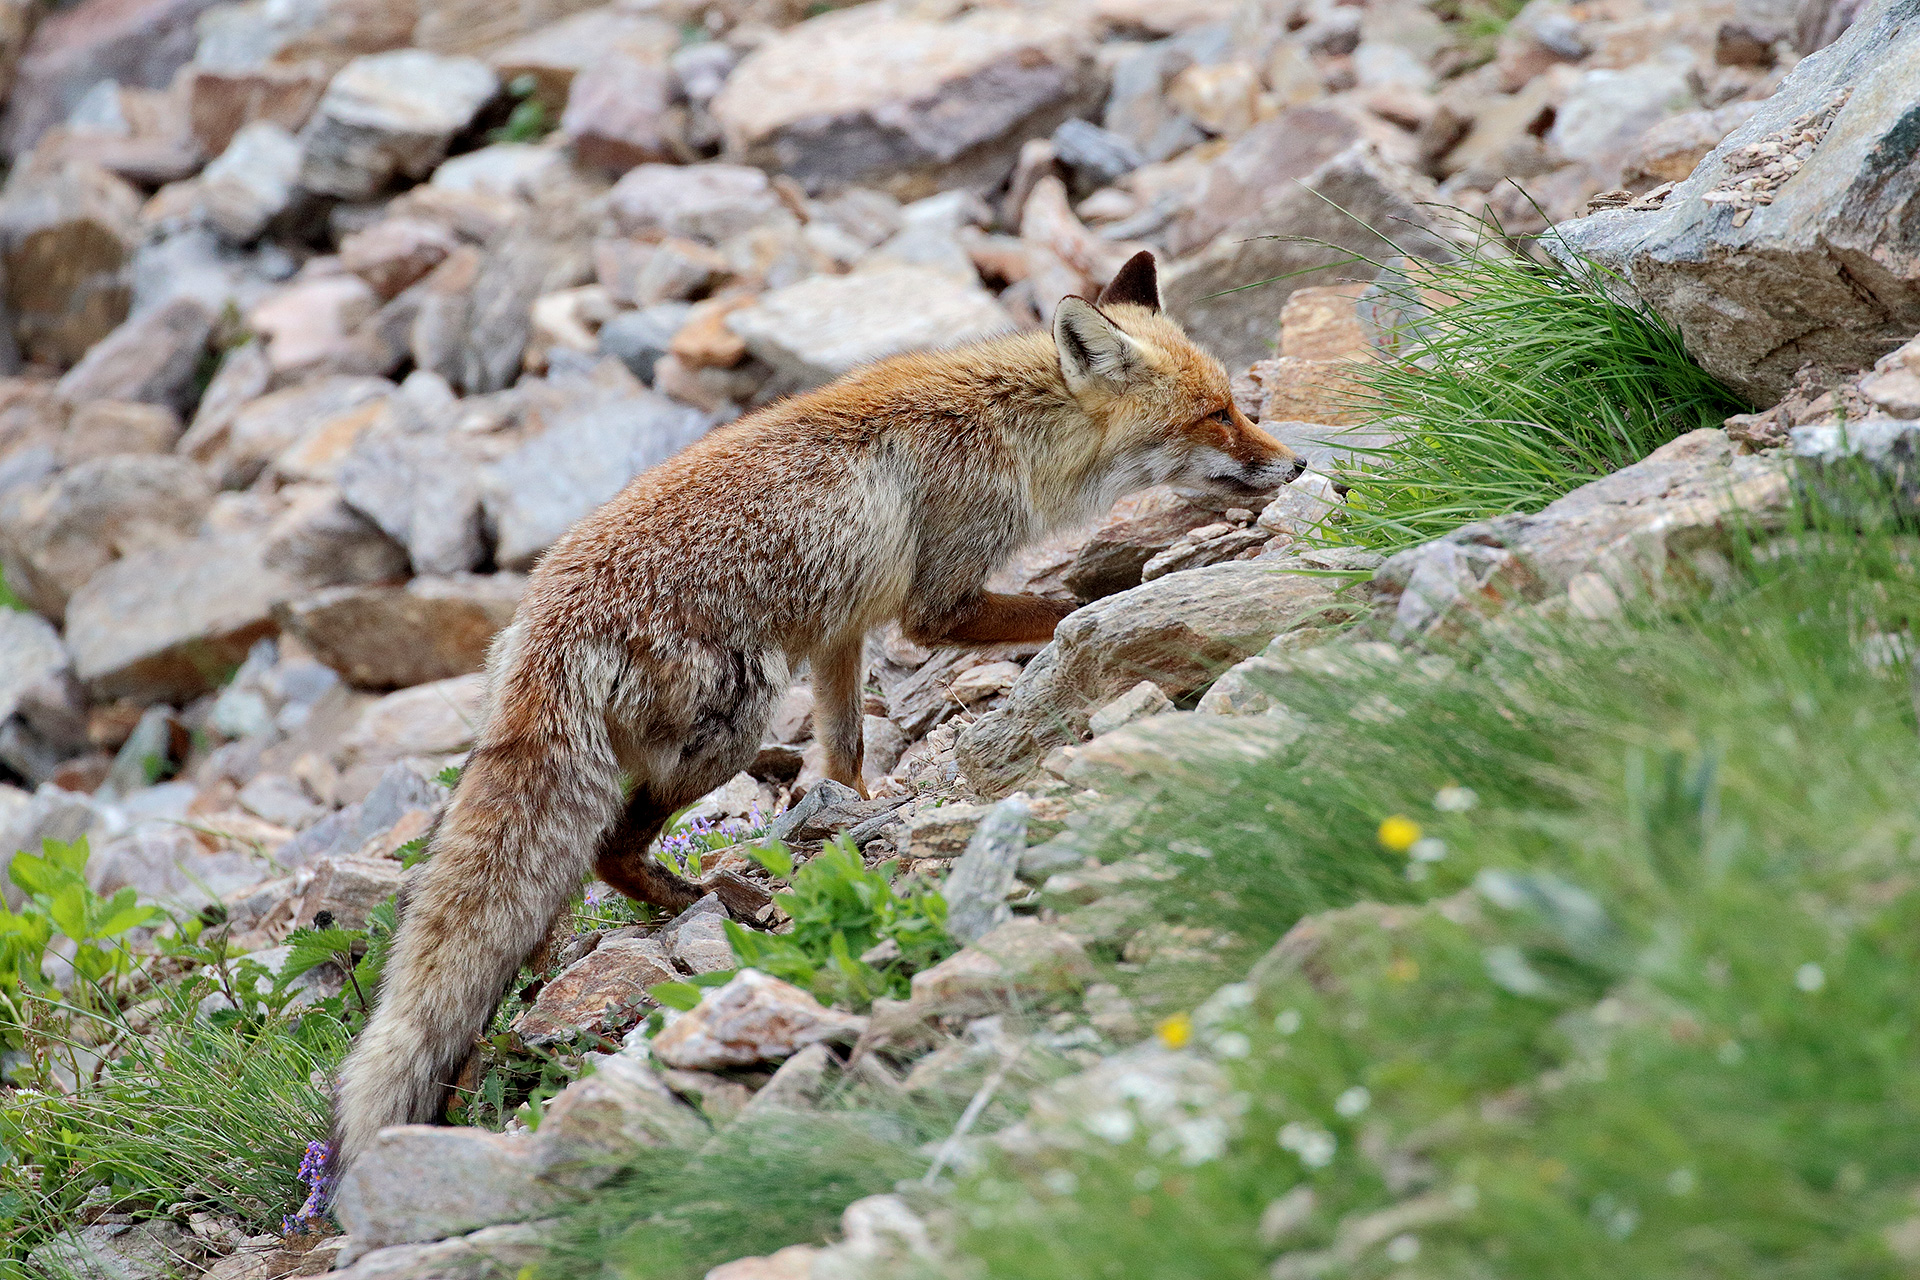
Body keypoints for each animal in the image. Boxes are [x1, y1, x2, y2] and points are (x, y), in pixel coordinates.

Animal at [327, 250, 1301, 1177]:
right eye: (1216, 415)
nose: (1294, 463)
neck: (1009, 430)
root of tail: (545, 626)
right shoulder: (934, 606)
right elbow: (1060, 607)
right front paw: (1145, 593)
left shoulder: (844, 630)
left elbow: (846, 747)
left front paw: (850, 819)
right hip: (734, 727)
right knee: (607, 848)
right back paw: (705, 900)